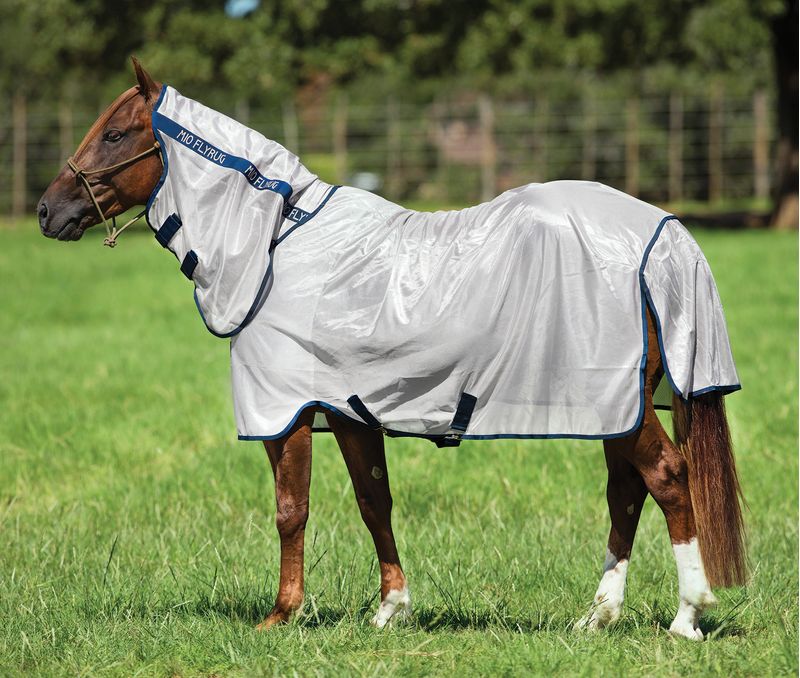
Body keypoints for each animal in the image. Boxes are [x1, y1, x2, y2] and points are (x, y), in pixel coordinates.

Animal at [37, 58, 746, 640]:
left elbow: (290, 510)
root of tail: (662, 231)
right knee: (626, 492)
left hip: (617, 404)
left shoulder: (286, 413)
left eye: (115, 134)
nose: (47, 211)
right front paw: (390, 610)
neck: (278, 247)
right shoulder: (350, 410)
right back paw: (597, 615)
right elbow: (373, 500)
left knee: (667, 477)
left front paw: (281, 614)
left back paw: (688, 615)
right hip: (614, 407)